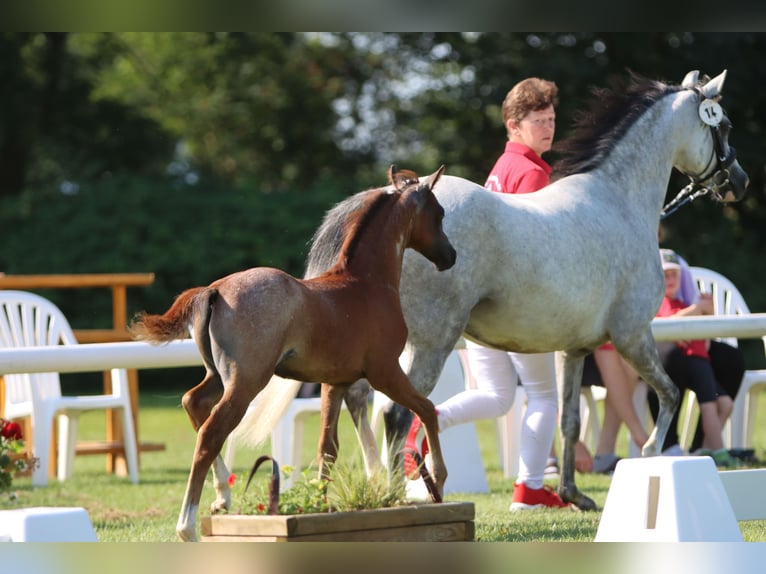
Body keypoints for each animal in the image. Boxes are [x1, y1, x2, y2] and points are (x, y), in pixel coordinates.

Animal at [129, 165, 456, 541]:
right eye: (438, 214)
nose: (450, 256)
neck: (366, 284)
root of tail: (214, 290)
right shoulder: (385, 371)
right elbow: (428, 409)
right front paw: (439, 481)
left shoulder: (335, 382)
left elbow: (328, 447)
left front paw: (320, 505)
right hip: (246, 382)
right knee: (211, 433)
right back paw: (188, 527)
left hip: (219, 377)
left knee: (193, 403)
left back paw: (223, 497)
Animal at [240, 69, 749, 512]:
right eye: (722, 125)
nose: (739, 183)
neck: (617, 202)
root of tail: (388, 200)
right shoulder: (633, 335)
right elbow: (670, 394)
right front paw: (648, 459)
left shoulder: (575, 350)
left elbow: (569, 421)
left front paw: (573, 494)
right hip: (428, 344)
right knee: (396, 413)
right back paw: (394, 491)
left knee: (360, 402)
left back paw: (375, 482)